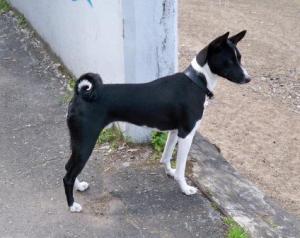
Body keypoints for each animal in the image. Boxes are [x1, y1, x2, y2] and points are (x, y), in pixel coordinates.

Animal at [63, 30, 251, 211]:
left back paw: (79, 187)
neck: (196, 82)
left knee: (69, 167)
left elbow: (166, 156)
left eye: (240, 58)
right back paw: (72, 205)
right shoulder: (187, 134)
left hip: (77, 141)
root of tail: (81, 95)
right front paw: (185, 188)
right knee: (68, 176)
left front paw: (170, 172)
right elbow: (181, 169)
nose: (248, 78)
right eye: (229, 61)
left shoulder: (175, 131)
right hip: (86, 142)